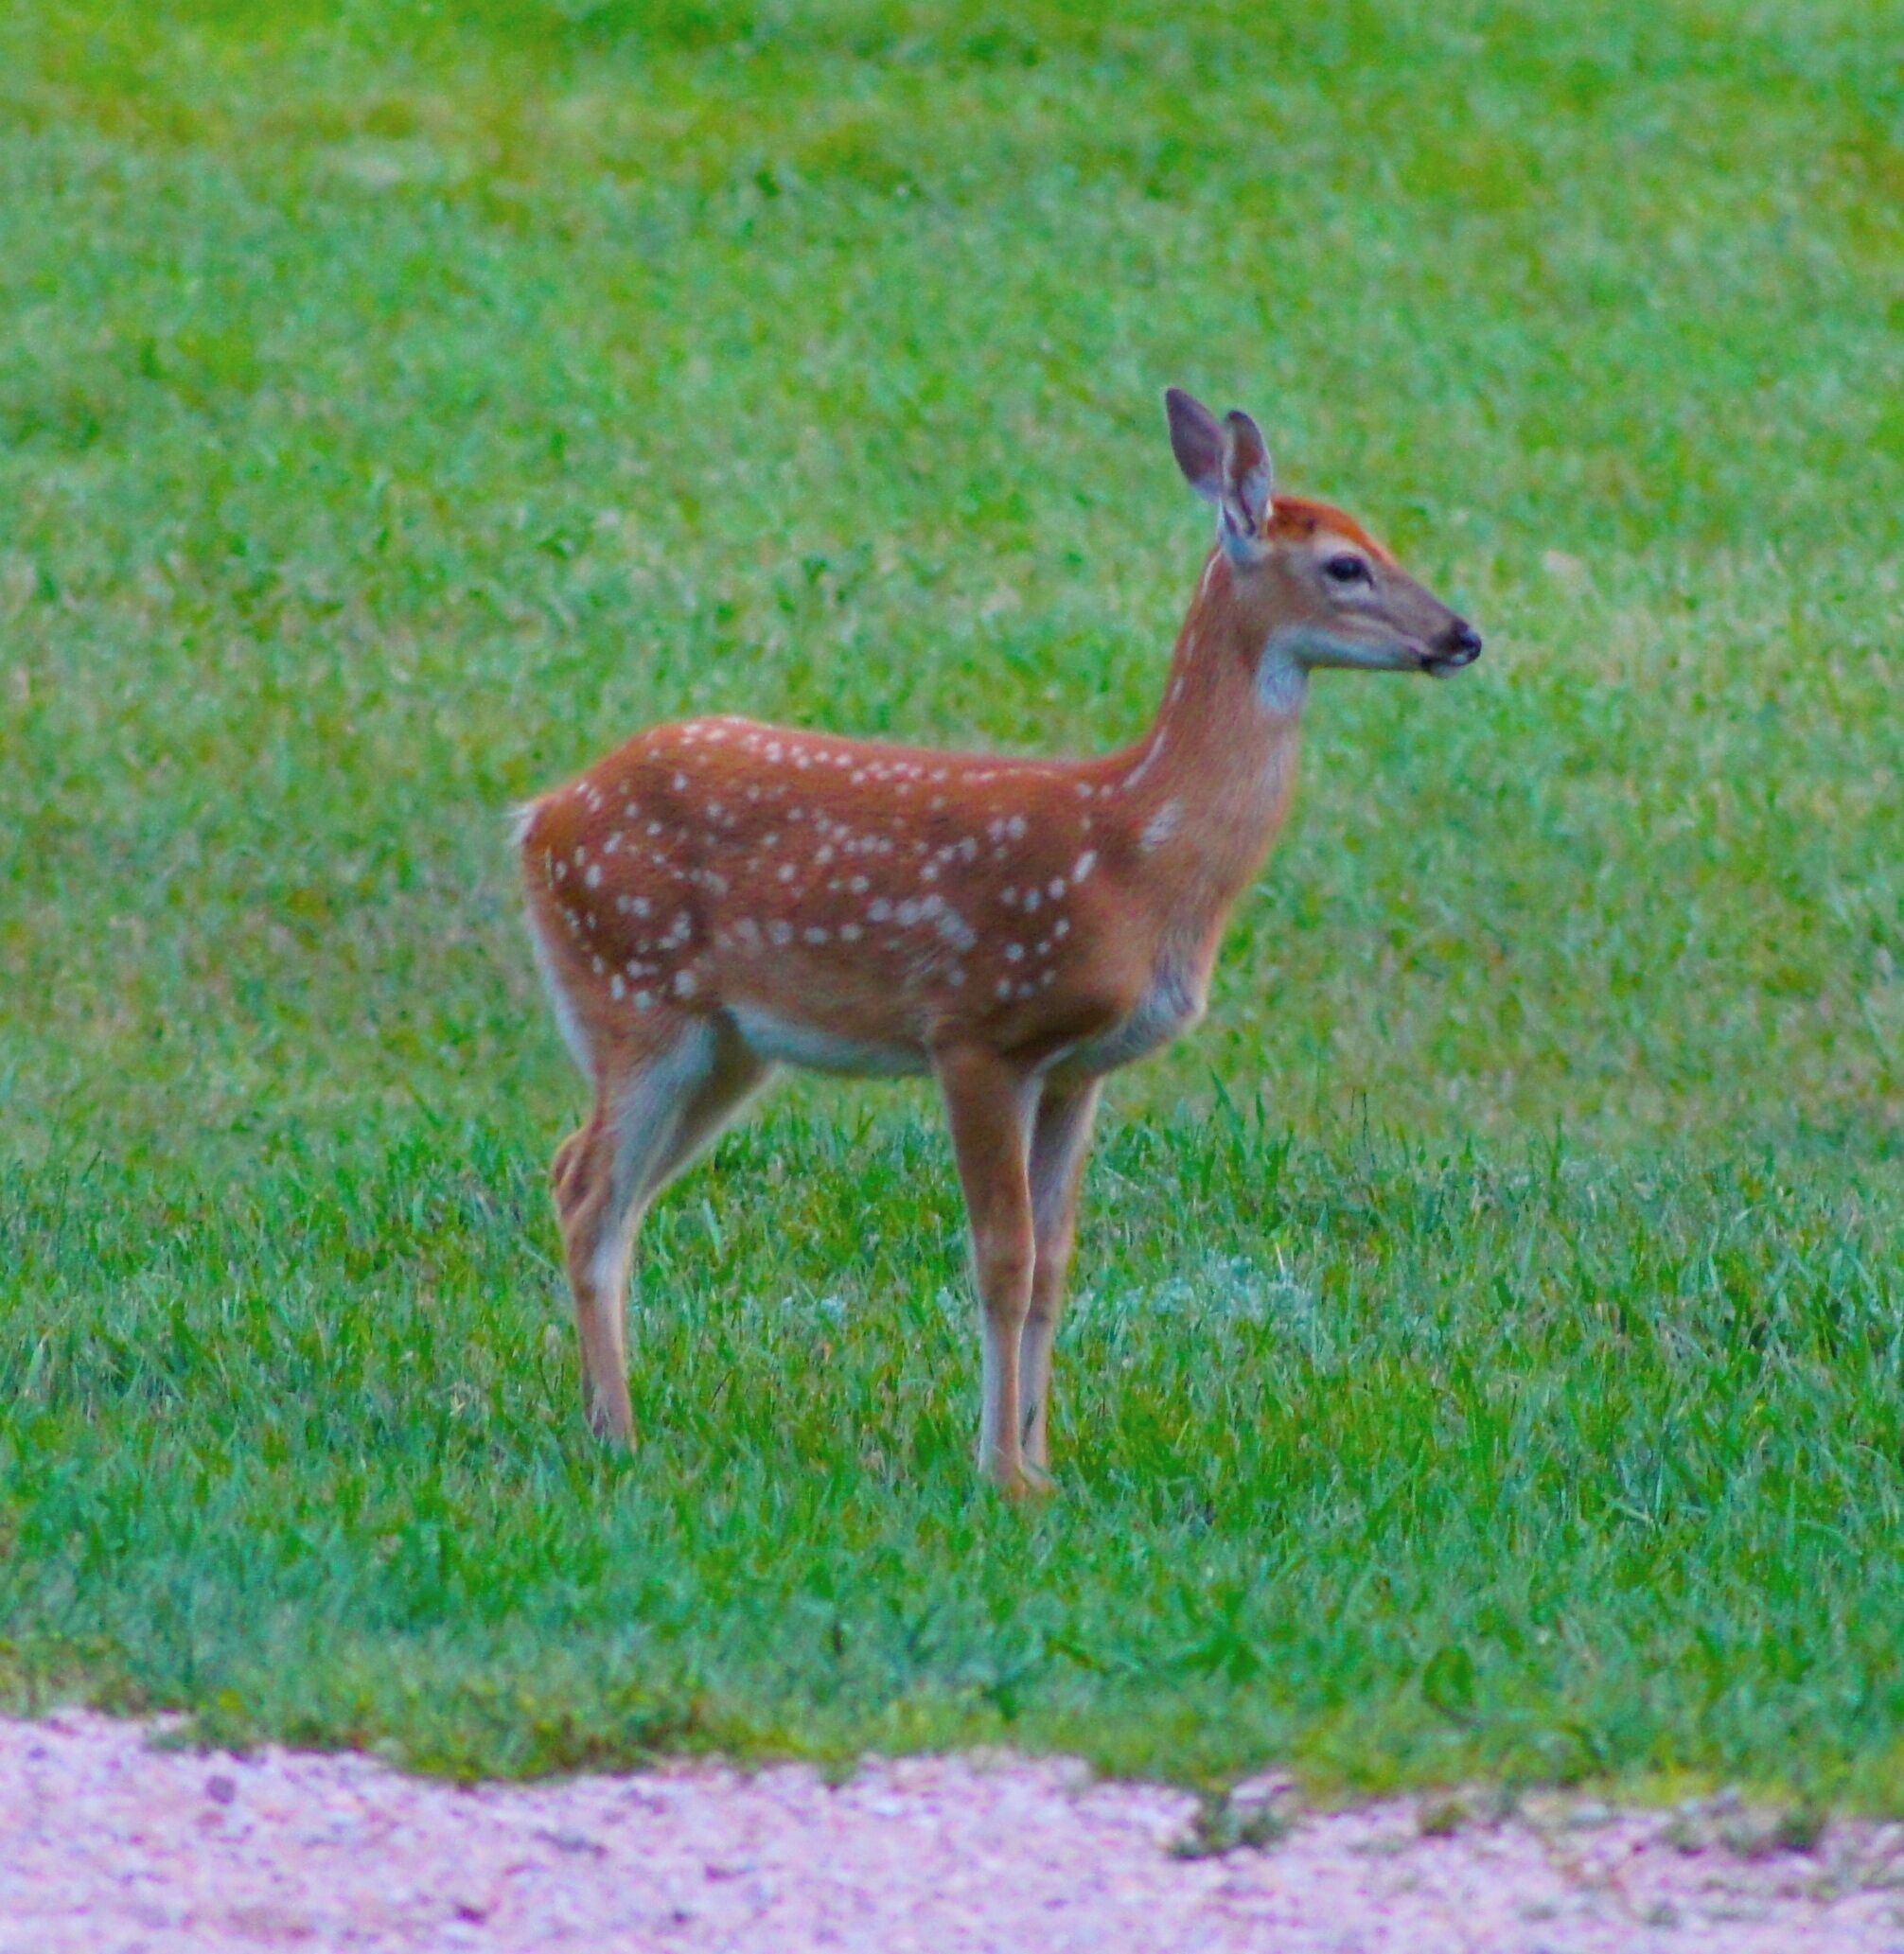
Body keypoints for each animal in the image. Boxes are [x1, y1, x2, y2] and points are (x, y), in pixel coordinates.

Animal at [515, 388, 1482, 1495]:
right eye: (1344, 564)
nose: (1461, 635)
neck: (1136, 856)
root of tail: (537, 818)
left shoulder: (1080, 1069)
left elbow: (1057, 1262)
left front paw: (1043, 1462)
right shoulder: (979, 1028)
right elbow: (1003, 1256)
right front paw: (1000, 1474)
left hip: (728, 1045)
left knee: (594, 1185)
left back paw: (610, 1420)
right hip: (635, 992)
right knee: (588, 1190)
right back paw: (619, 1436)